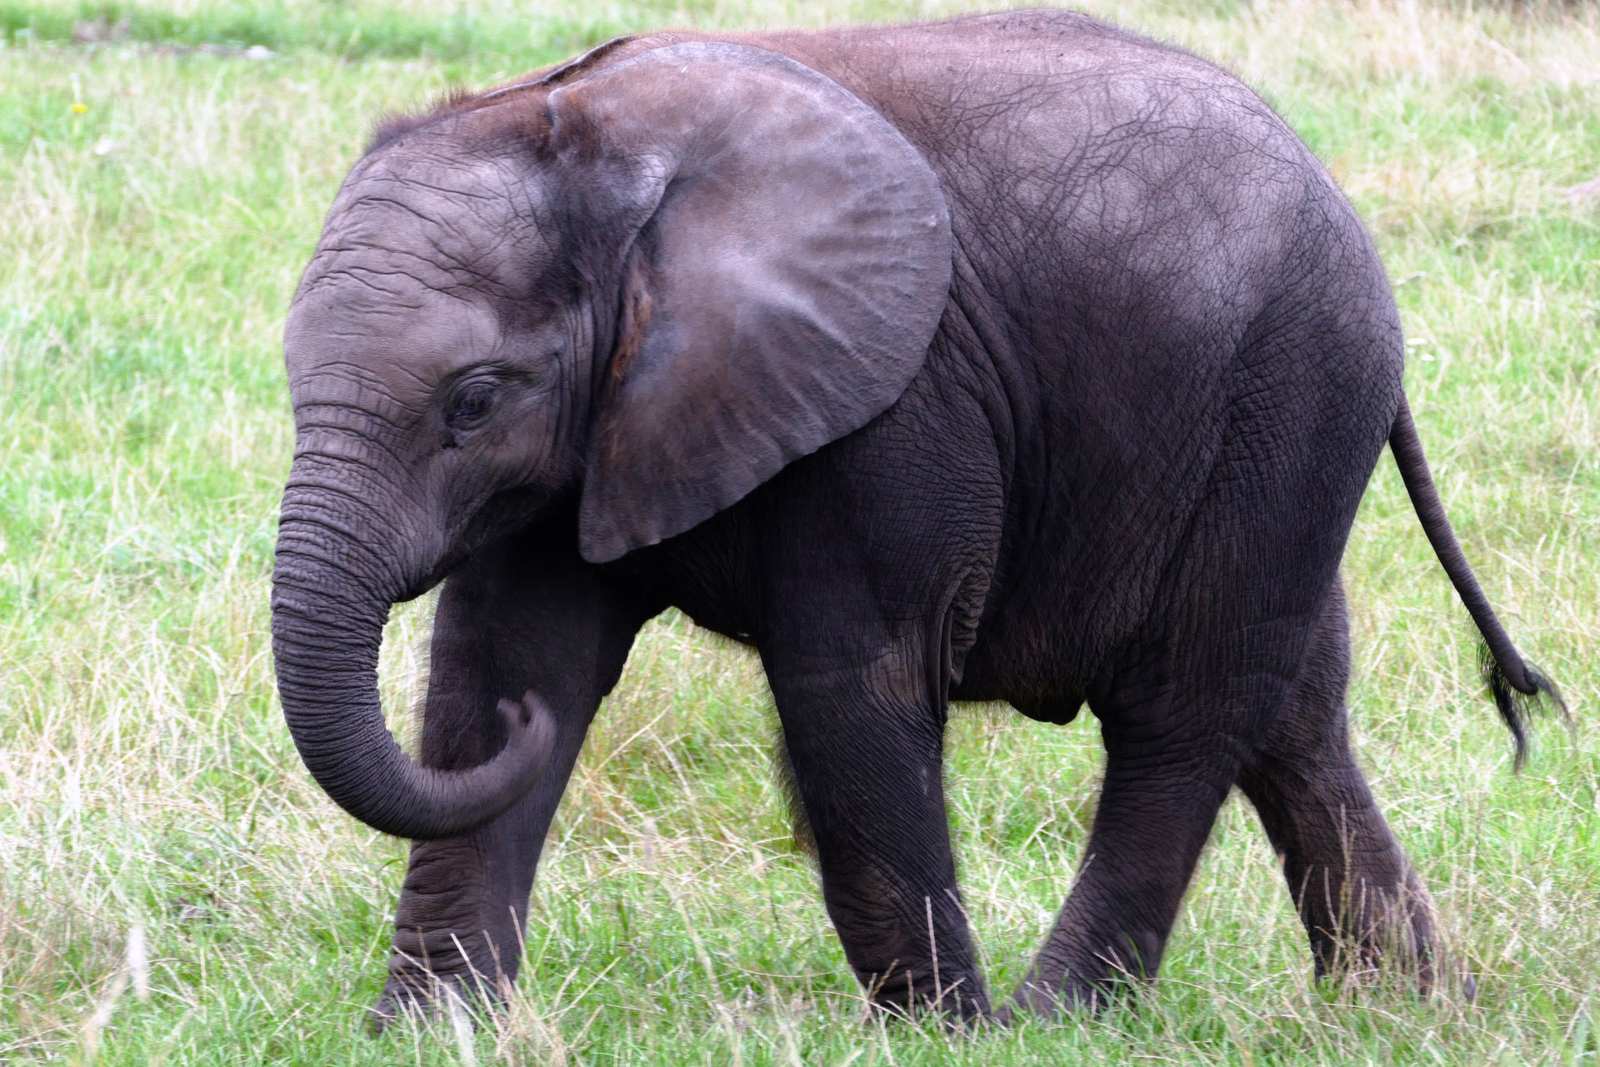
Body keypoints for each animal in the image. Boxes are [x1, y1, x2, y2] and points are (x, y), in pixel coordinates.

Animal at [270, 9, 1564, 1026]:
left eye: (472, 400)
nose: (530, 732)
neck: (587, 142)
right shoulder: (596, 427)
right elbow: (507, 652)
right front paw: (425, 1028)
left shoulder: (896, 403)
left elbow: (854, 684)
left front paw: (942, 1031)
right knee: (1294, 710)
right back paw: (1404, 1006)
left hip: (1288, 394)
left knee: (1184, 711)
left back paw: (1053, 1017)